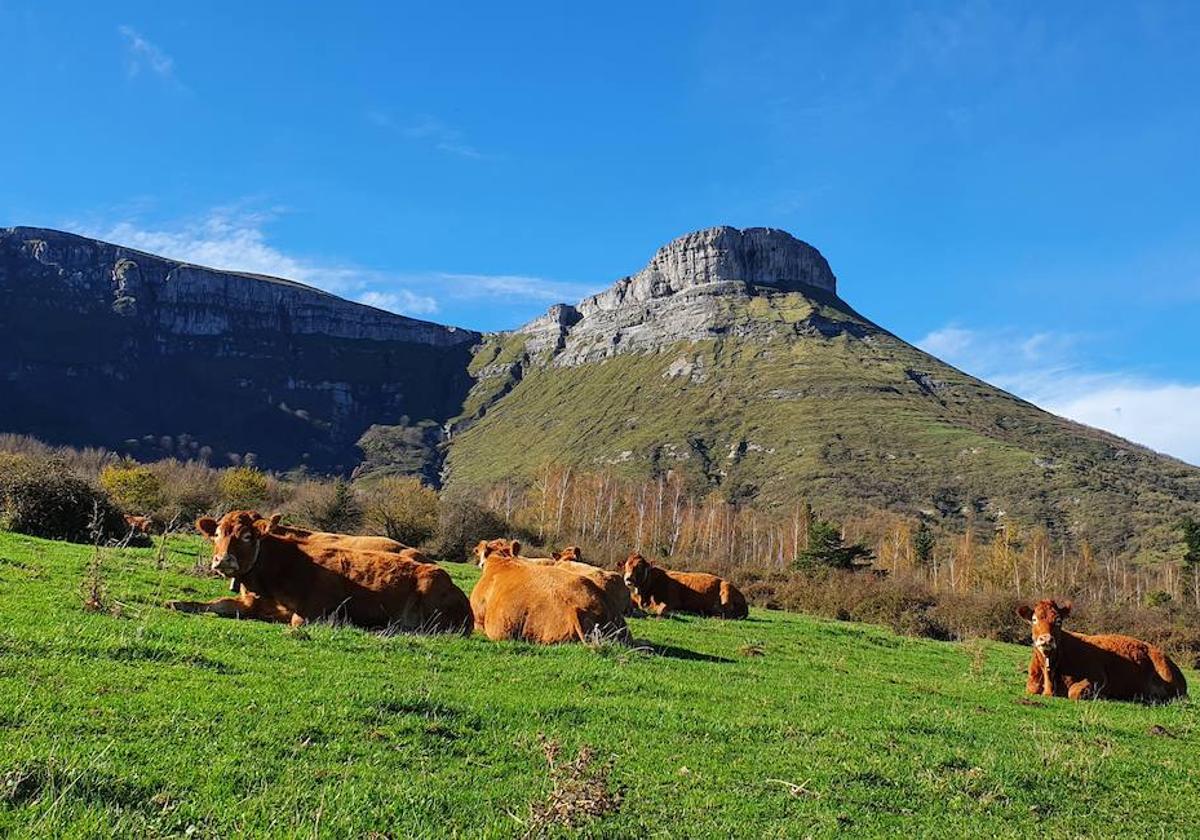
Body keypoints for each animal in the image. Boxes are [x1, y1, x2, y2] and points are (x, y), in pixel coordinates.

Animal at [169, 508, 468, 633]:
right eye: (217, 533)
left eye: (247, 536)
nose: (223, 560)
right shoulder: (251, 601)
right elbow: (216, 604)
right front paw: (178, 603)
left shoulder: (314, 609)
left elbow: (296, 621)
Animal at [619, 554, 748, 619]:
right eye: (626, 566)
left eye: (640, 567)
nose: (628, 579)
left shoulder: (671, 602)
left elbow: (660, 610)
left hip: (726, 590)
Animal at [1017, 597, 1185, 700]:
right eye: (1034, 619)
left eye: (1059, 620)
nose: (1046, 639)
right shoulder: (1032, 684)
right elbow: (1032, 688)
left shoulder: (1098, 678)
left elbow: (1074, 692)